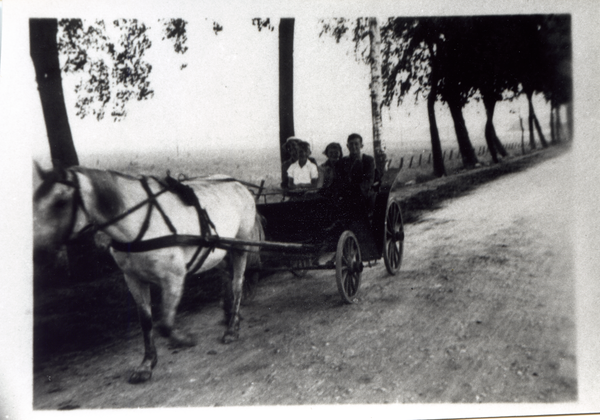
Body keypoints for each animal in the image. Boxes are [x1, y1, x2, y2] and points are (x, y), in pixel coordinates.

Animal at [33, 164, 260, 384]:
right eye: (35, 198)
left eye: (60, 202)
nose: (38, 253)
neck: (140, 224)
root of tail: (239, 184)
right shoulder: (133, 279)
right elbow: (146, 321)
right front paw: (147, 364)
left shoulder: (174, 277)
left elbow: (165, 325)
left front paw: (183, 339)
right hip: (219, 251)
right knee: (226, 275)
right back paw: (228, 313)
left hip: (240, 247)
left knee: (237, 283)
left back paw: (232, 327)